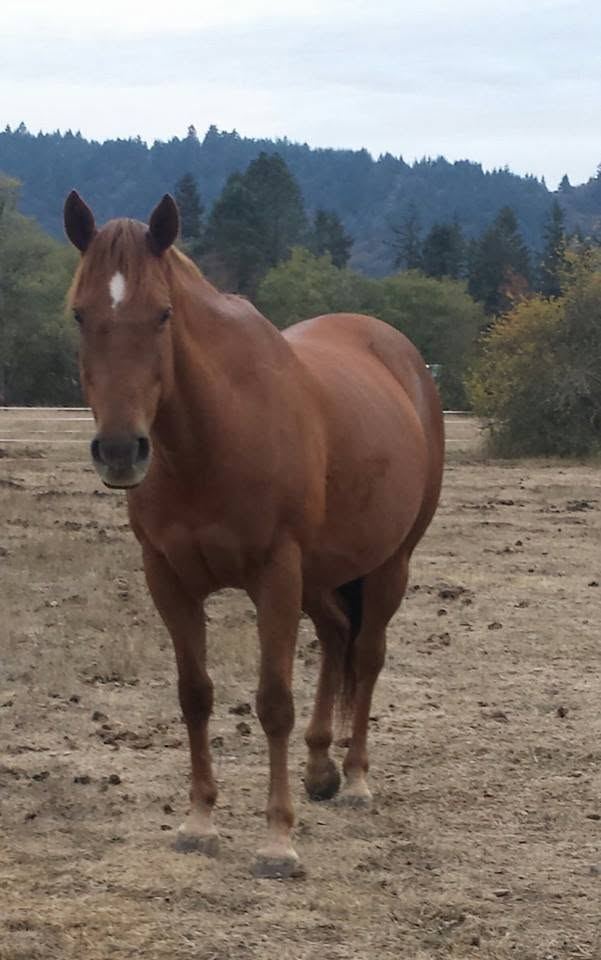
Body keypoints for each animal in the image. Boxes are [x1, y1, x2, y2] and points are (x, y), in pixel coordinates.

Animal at [64, 191, 444, 878]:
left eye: (163, 315)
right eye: (81, 315)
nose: (120, 451)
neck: (213, 436)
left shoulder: (275, 573)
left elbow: (272, 703)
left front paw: (276, 840)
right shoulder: (167, 578)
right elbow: (195, 695)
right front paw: (199, 823)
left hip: (389, 564)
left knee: (367, 655)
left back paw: (355, 780)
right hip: (321, 575)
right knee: (337, 636)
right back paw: (320, 768)